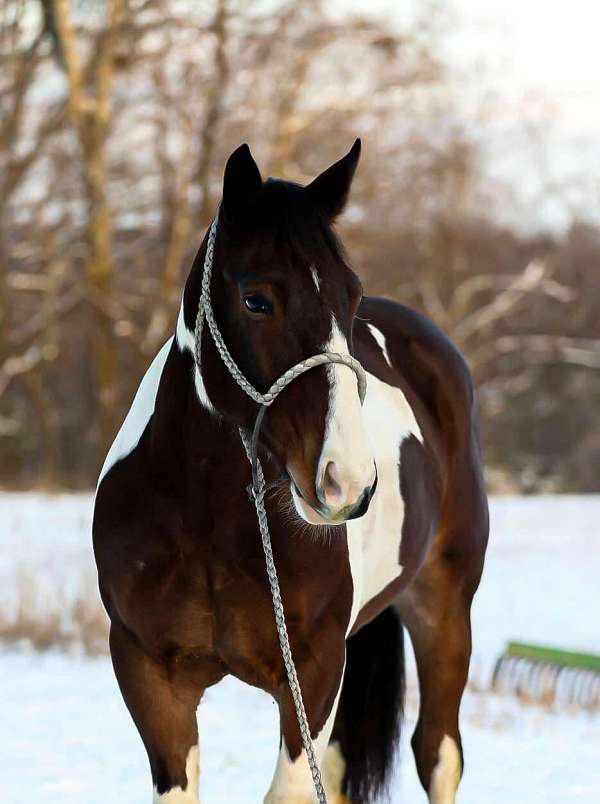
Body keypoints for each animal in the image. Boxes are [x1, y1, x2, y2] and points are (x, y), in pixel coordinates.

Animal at [92, 140, 488, 804]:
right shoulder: (151, 677)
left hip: (444, 605)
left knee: (439, 754)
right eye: (257, 300)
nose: (347, 483)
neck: (206, 516)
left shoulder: (313, 670)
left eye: (350, 295)